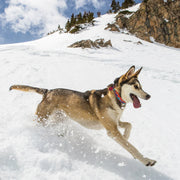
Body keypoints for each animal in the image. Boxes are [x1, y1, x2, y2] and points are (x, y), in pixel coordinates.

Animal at [9, 65, 156, 167]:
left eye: (141, 86)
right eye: (136, 86)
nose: (149, 96)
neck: (115, 97)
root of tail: (47, 91)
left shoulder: (115, 123)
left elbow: (129, 126)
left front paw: (126, 136)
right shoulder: (111, 129)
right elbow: (132, 148)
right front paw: (146, 160)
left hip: (59, 118)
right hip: (42, 118)